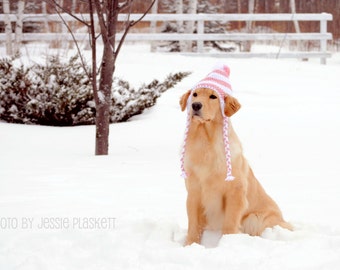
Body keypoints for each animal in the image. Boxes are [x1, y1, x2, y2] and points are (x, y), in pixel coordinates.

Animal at [179, 66, 290, 247]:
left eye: (213, 96)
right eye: (195, 94)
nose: (195, 105)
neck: (206, 141)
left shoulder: (235, 192)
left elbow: (230, 223)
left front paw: (226, 243)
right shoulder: (194, 191)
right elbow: (194, 224)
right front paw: (190, 245)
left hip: (254, 218)